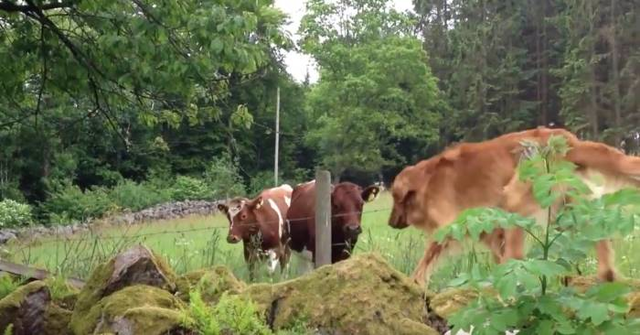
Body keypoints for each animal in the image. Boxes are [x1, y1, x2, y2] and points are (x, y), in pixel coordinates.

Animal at [388, 127, 640, 288]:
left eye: (394, 199)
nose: (389, 223)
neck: (425, 182)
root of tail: (567, 140)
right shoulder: (490, 232)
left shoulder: (449, 226)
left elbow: (425, 260)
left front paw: (414, 281)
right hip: (571, 203)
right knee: (599, 238)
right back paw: (606, 275)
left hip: (515, 199)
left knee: (517, 256)